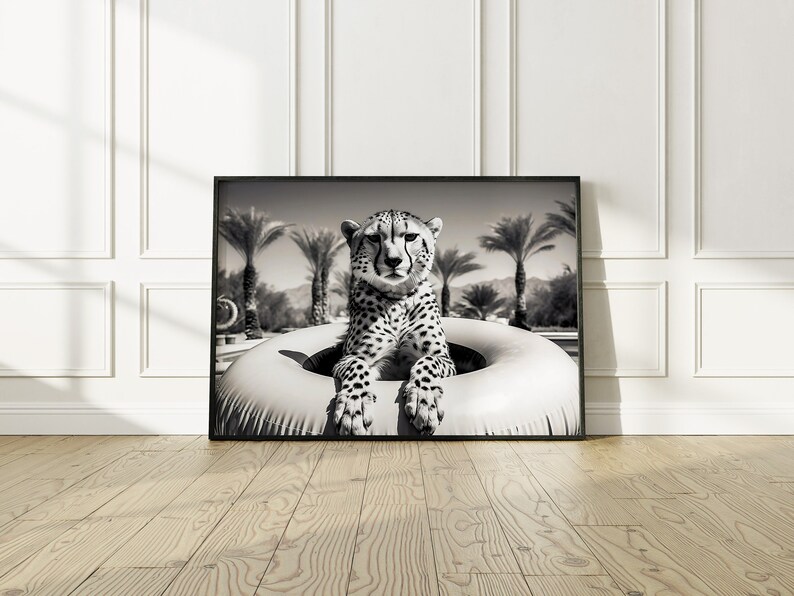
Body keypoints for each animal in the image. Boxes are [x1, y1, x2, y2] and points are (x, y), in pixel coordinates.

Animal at [331, 209, 456, 436]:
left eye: (410, 236)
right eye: (373, 238)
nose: (393, 260)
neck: (396, 298)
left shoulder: (443, 359)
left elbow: (427, 362)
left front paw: (425, 398)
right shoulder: (349, 359)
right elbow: (358, 366)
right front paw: (354, 405)